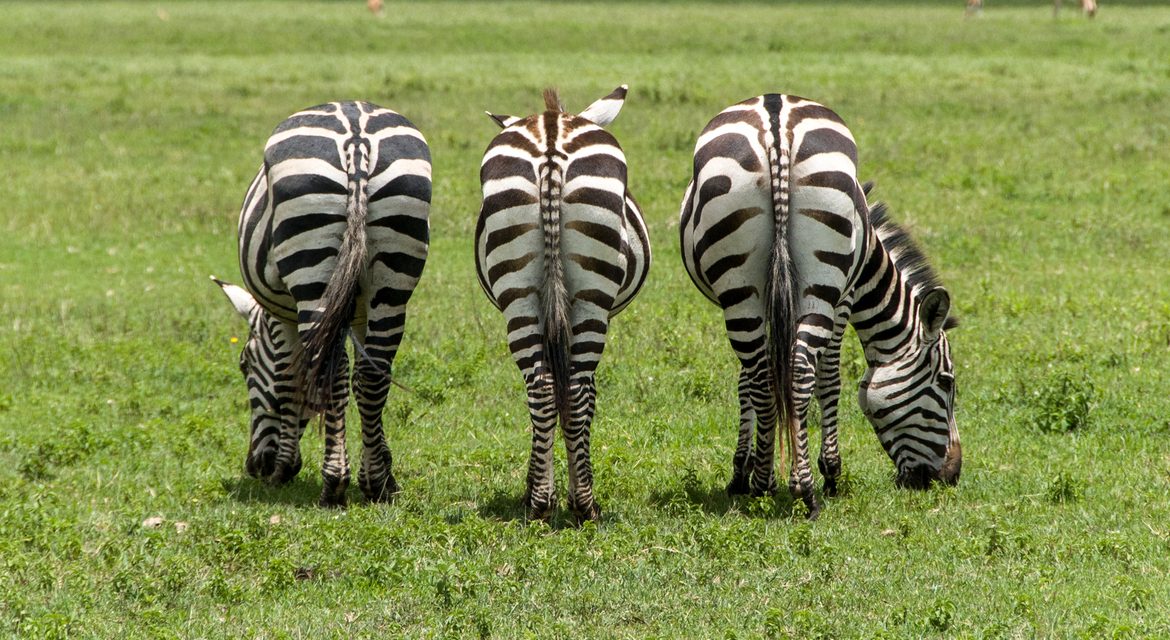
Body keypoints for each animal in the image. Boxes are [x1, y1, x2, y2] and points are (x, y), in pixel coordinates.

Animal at [212, 101, 430, 507]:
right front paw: (385, 467)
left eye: (244, 365)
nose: (255, 466)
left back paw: (334, 484)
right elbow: (363, 378)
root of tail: (356, 136)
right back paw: (376, 483)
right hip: (395, 274)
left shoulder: (281, 313)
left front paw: (284, 468)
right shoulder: (356, 314)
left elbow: (288, 380)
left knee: (330, 371)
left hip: (311, 262)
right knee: (373, 374)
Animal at [475, 85, 650, 522]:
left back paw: (539, 502)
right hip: (592, 298)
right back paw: (585, 503)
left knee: (542, 386)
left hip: (518, 290)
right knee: (575, 388)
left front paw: (538, 487)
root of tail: (552, 135)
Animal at [679, 94, 961, 519]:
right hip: (822, 279)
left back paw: (763, 485)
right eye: (946, 383)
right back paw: (807, 490)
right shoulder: (844, 297)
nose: (952, 476)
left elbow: (748, 381)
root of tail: (776, 121)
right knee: (800, 371)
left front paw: (742, 472)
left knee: (763, 375)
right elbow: (829, 379)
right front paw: (831, 471)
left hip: (740, 285)